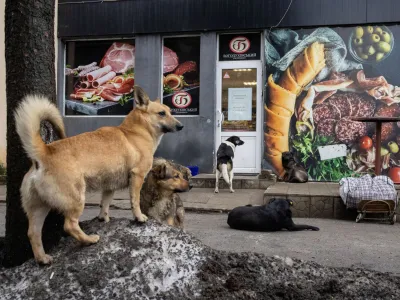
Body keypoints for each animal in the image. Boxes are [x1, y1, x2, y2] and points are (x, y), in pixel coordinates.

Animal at [14, 85, 184, 264]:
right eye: (162, 113)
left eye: (170, 111)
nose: (181, 126)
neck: (134, 133)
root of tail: (45, 152)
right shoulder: (137, 177)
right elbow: (135, 202)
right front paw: (139, 217)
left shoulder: (109, 187)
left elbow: (105, 204)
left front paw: (104, 219)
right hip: (76, 199)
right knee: (70, 225)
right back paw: (89, 240)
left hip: (39, 207)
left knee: (33, 233)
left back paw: (42, 259)